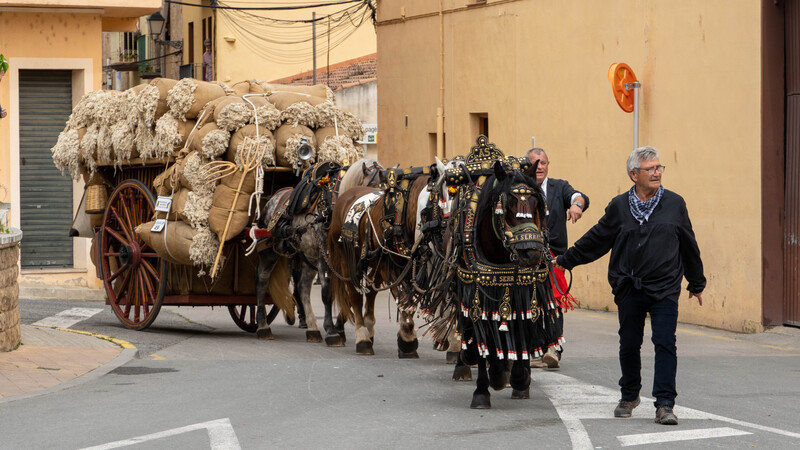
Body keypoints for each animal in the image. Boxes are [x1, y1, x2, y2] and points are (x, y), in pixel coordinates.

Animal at [255, 156, 382, 340]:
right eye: (371, 188)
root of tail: (274, 197)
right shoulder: (325, 254)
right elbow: (327, 291)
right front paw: (331, 330)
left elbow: (349, 290)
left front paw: (340, 326)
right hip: (269, 252)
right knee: (262, 281)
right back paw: (262, 325)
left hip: (308, 256)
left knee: (303, 286)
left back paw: (312, 328)